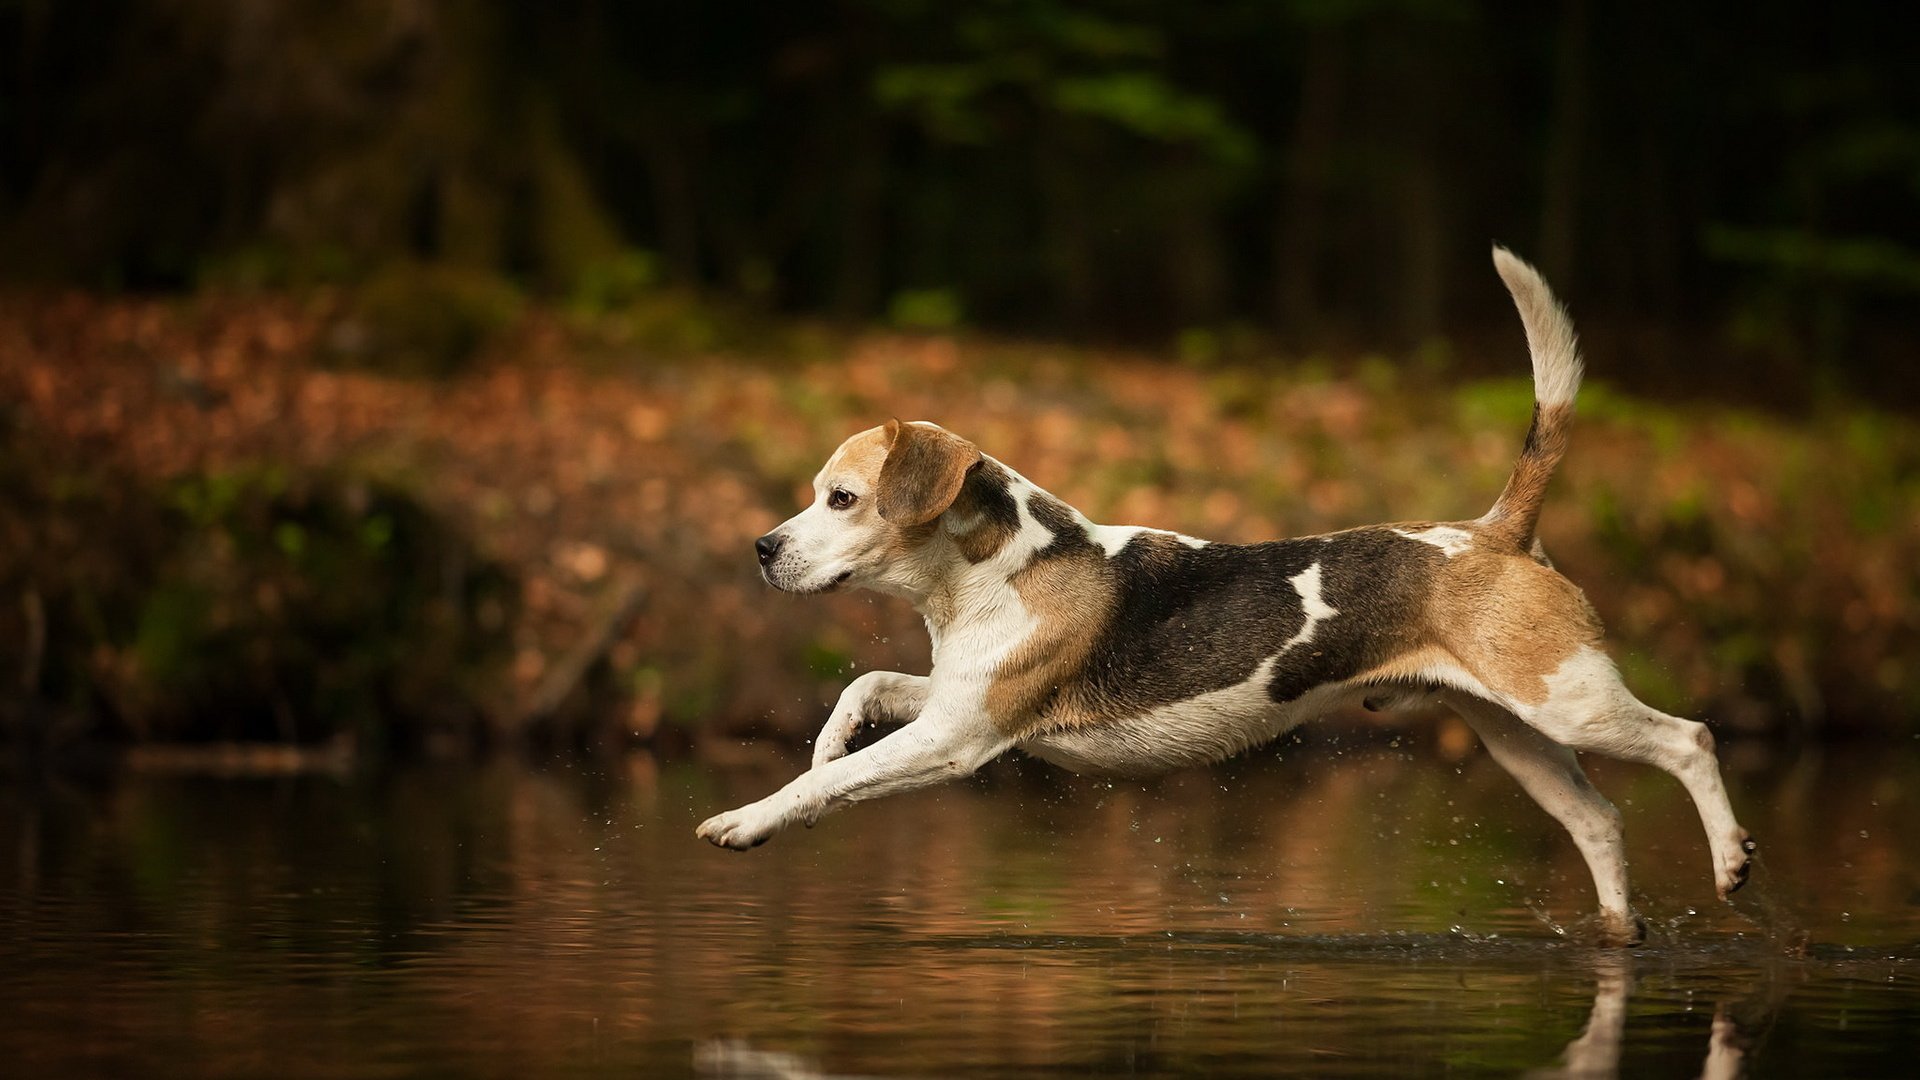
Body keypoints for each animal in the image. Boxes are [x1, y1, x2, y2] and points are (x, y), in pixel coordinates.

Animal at [702, 245, 1758, 941]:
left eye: (841, 498)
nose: (760, 548)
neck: (995, 569)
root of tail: (1495, 531)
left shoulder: (960, 738)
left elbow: (825, 786)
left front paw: (749, 819)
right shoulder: (961, 700)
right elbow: (864, 691)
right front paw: (828, 736)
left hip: (1571, 702)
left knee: (1692, 739)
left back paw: (1731, 860)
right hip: (1518, 734)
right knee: (1600, 821)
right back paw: (1619, 936)